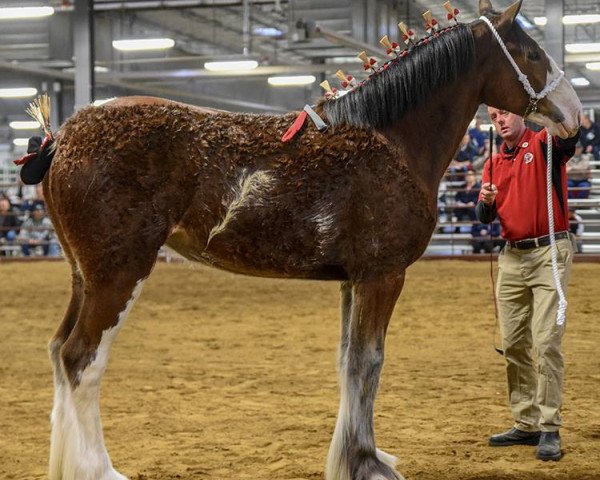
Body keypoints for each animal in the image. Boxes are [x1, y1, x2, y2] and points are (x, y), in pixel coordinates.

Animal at [38, 1, 580, 478]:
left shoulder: (352, 282)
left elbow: (347, 364)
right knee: (82, 359)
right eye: (532, 53)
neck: (391, 139)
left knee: (59, 351)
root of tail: (61, 137)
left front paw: (357, 459)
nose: (575, 115)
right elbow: (368, 365)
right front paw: (367, 465)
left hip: (84, 277)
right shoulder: (383, 277)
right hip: (118, 276)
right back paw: (99, 470)